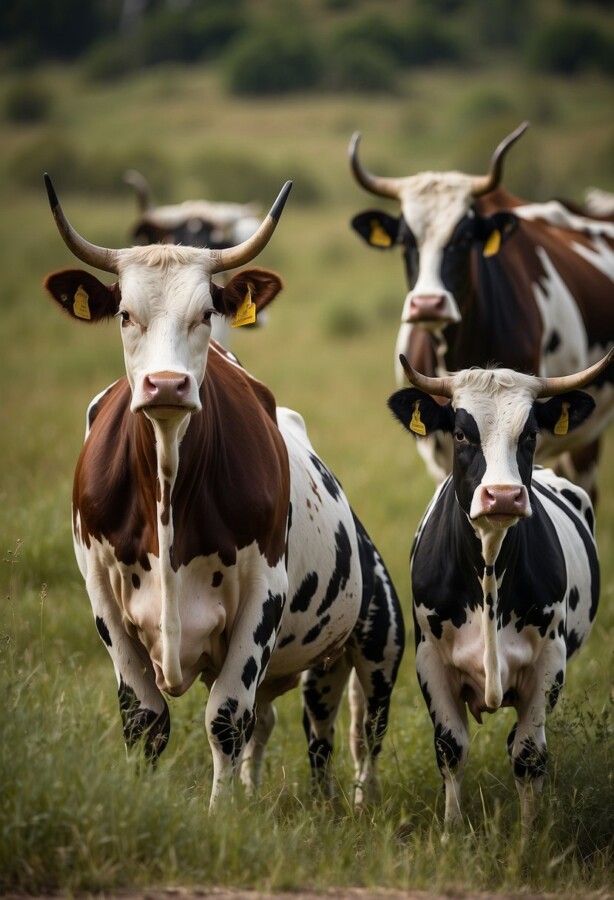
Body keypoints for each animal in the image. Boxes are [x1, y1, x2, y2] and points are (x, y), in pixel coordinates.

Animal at [45, 174, 406, 808]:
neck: (167, 489)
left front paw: (222, 815)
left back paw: (350, 802)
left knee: (351, 733)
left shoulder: (263, 594)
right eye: (124, 313)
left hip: (374, 642)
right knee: (284, 724)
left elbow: (225, 719)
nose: (166, 385)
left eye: (206, 310)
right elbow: (145, 718)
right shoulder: (101, 593)